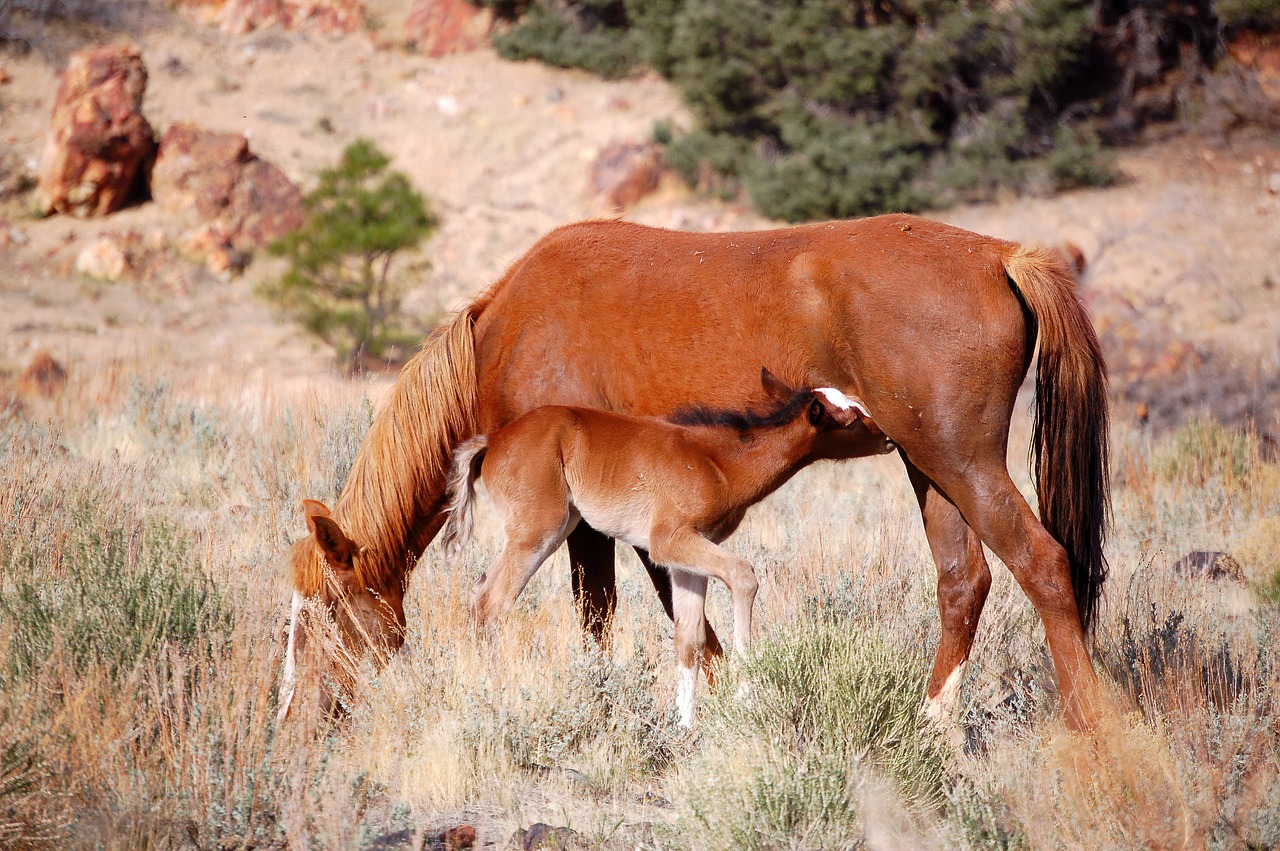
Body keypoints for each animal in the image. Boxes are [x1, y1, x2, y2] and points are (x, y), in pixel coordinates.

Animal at [438, 369, 887, 727]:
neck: (718, 462)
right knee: (492, 603)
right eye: (850, 420)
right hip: (538, 532)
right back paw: (495, 693)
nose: (886, 437)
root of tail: (494, 440)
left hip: (554, 528)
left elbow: (689, 639)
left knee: (480, 592)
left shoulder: (687, 558)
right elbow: (744, 577)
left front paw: (685, 726)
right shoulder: (670, 542)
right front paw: (747, 693)